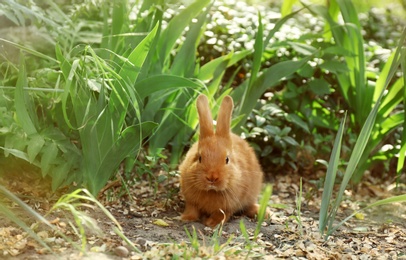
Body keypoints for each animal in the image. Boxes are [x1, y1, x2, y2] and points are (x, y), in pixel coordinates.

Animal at [179, 94, 264, 226]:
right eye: (199, 158)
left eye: (227, 159)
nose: (212, 177)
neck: (212, 191)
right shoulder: (191, 201)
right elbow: (192, 209)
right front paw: (186, 218)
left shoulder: (227, 206)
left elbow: (222, 214)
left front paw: (212, 223)